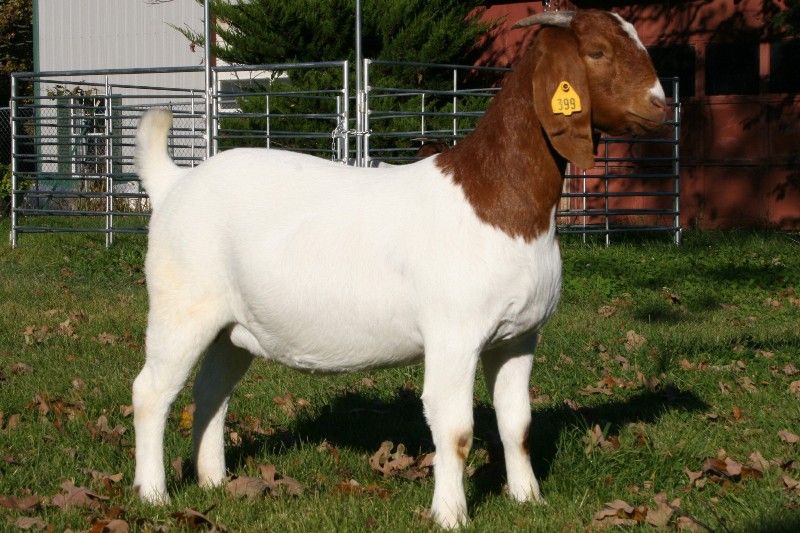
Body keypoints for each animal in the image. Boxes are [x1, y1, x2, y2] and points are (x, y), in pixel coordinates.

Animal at [132, 9, 666, 528]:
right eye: (596, 51)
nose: (660, 105)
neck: (496, 200)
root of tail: (174, 184)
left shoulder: (518, 336)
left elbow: (517, 424)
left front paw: (528, 499)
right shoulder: (454, 334)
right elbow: (456, 430)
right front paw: (451, 515)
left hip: (233, 327)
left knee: (211, 394)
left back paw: (213, 482)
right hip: (181, 307)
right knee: (152, 391)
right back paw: (153, 494)